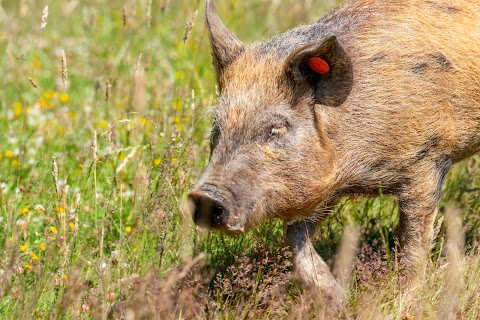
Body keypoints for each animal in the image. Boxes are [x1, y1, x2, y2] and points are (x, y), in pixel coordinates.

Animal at [187, 0, 480, 306]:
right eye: (217, 128)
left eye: (275, 129)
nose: (204, 196)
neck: (359, 172)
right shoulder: (320, 191)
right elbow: (295, 237)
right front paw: (338, 300)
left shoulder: (426, 161)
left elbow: (414, 242)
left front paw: (405, 301)